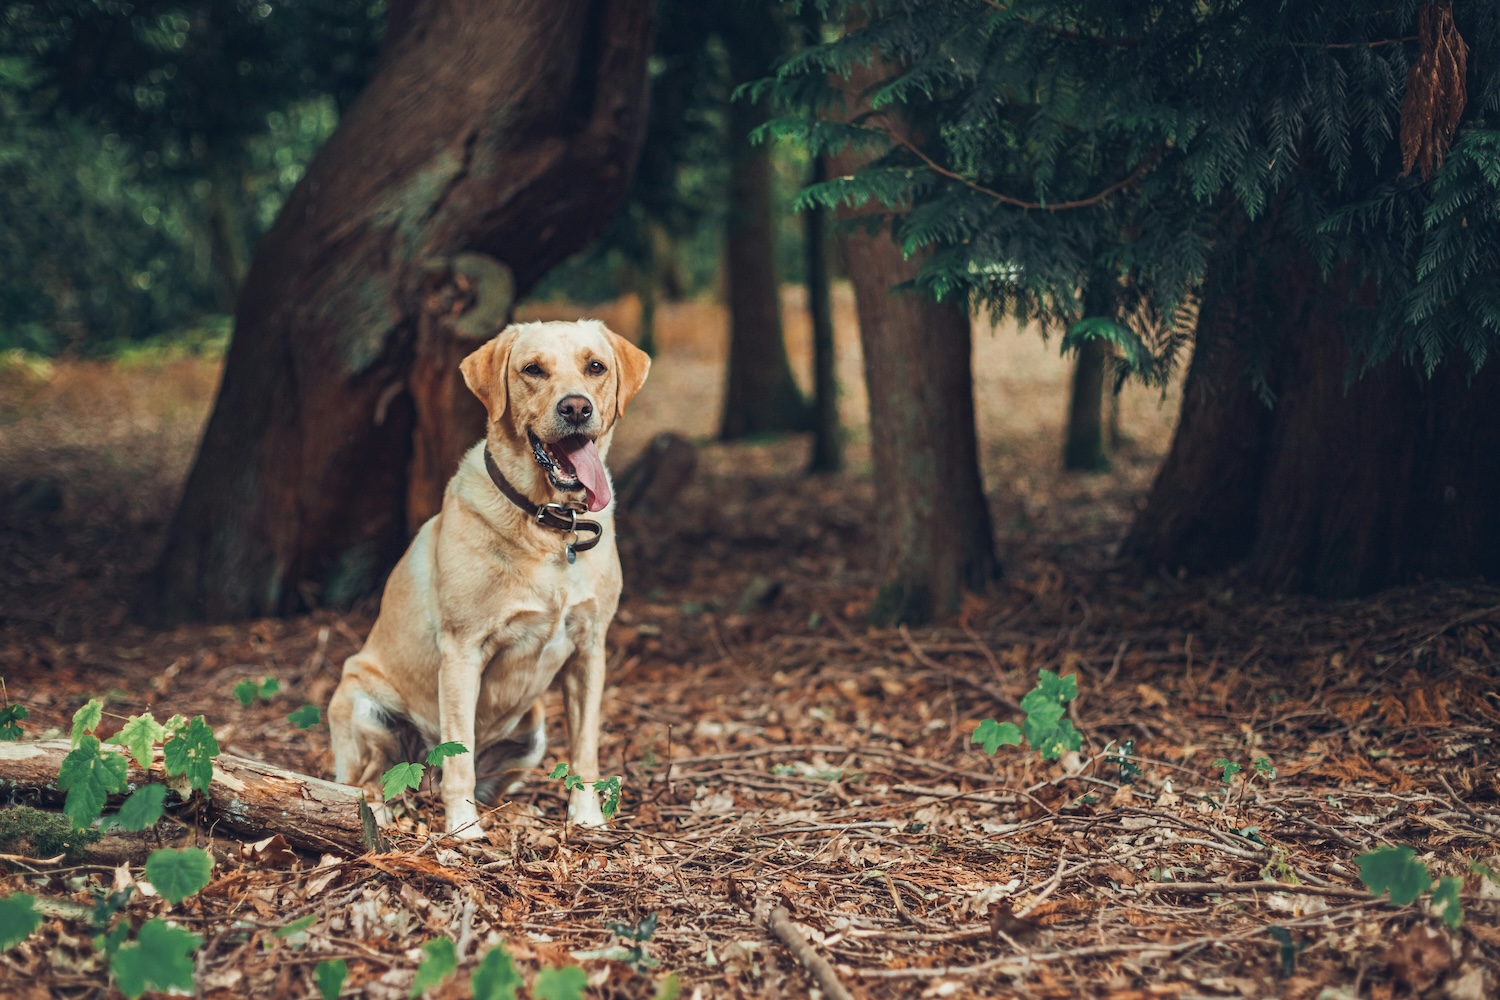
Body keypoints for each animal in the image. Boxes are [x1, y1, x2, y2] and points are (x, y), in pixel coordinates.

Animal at [331, 320, 648, 839]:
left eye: (596, 366)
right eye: (533, 369)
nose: (577, 407)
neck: (549, 525)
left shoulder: (589, 649)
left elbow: (585, 750)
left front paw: (587, 819)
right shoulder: (463, 651)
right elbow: (457, 756)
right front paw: (463, 829)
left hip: (533, 733)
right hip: (362, 705)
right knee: (371, 779)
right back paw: (383, 810)